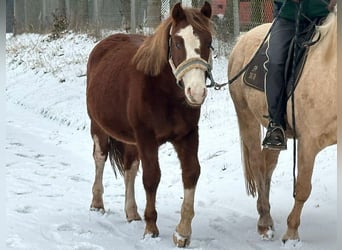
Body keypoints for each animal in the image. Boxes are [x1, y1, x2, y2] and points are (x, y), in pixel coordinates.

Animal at [86, 1, 214, 248]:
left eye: (208, 42)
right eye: (177, 42)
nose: (196, 92)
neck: (164, 92)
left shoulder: (187, 136)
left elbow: (191, 173)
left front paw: (182, 233)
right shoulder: (146, 138)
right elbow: (151, 177)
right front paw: (151, 228)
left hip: (130, 139)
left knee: (129, 168)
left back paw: (132, 212)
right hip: (98, 126)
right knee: (99, 158)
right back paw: (97, 203)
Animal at [227, 8, 336, 245]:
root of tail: (242, 40)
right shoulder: (308, 143)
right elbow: (303, 187)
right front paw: (291, 233)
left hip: (276, 134)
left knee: (268, 166)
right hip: (247, 118)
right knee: (258, 165)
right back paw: (264, 223)